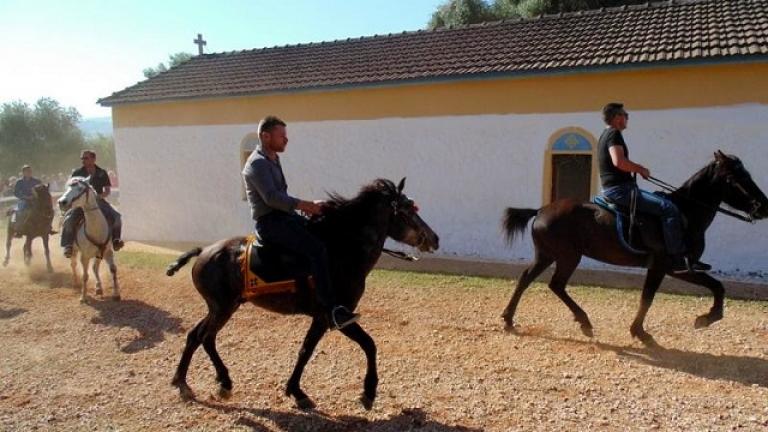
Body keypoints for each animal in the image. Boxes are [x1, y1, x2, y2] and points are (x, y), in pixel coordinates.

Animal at [164, 177, 438, 410]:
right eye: (408, 209)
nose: (434, 238)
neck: (342, 250)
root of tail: (204, 251)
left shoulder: (321, 318)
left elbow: (306, 350)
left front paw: (296, 391)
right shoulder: (335, 316)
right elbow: (367, 345)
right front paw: (368, 392)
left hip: (223, 306)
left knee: (196, 335)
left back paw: (184, 383)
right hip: (222, 308)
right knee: (206, 337)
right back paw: (222, 383)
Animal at [500, 152, 768, 348]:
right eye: (736, 178)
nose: (763, 206)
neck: (685, 213)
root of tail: (541, 210)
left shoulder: (678, 268)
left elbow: (717, 287)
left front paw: (707, 317)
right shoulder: (668, 267)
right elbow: (647, 298)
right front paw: (642, 332)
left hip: (547, 255)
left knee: (527, 279)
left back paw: (510, 320)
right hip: (567, 256)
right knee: (555, 284)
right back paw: (584, 322)